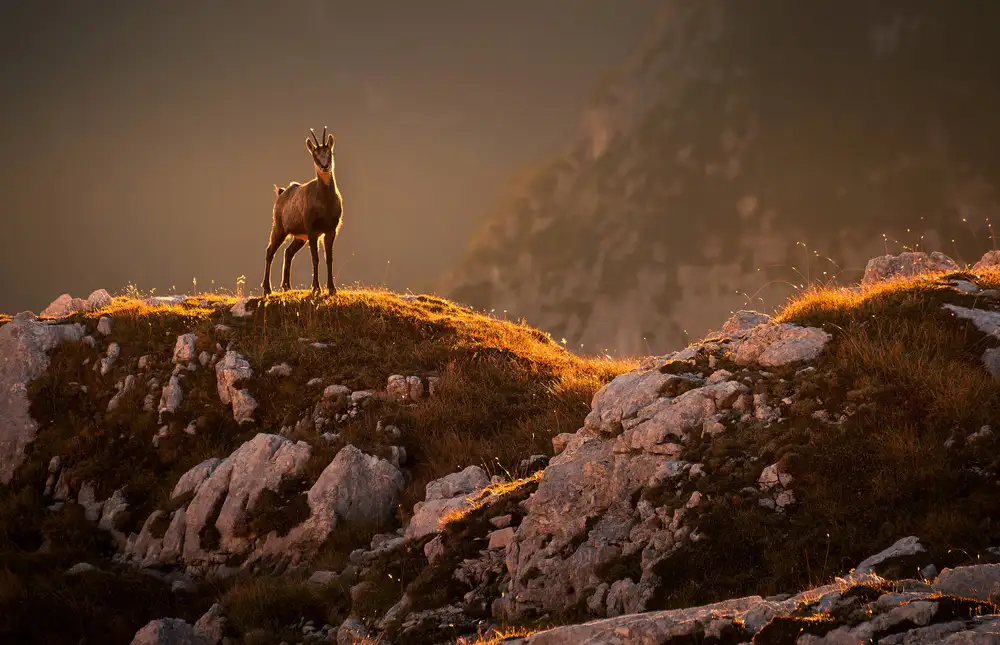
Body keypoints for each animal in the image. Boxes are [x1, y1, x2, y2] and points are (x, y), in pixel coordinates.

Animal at [262, 127, 344, 296]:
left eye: (329, 152)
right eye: (315, 155)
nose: (325, 166)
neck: (325, 202)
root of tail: (281, 193)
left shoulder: (331, 230)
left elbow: (329, 258)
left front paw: (332, 288)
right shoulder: (312, 230)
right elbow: (315, 258)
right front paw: (316, 288)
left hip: (299, 237)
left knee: (288, 252)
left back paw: (287, 286)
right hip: (279, 228)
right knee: (270, 251)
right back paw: (267, 289)